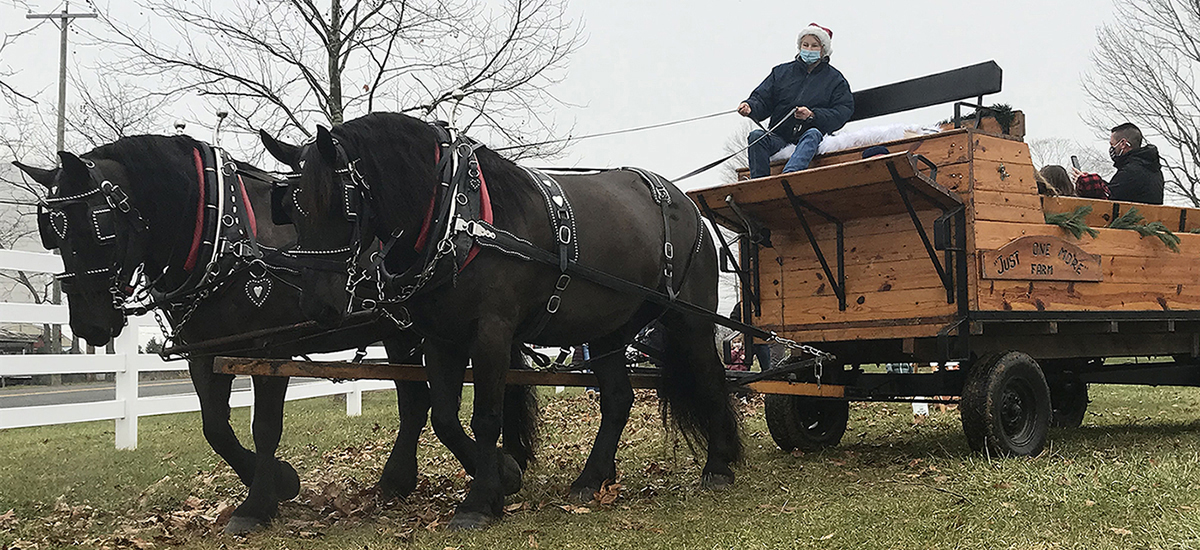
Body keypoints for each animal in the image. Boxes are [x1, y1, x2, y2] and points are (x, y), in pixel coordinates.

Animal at [10, 135, 520, 535]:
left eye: (99, 225)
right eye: (51, 231)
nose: (90, 325)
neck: (220, 232)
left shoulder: (270, 349)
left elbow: (264, 427)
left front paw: (256, 506)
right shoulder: (206, 352)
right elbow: (215, 428)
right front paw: (278, 480)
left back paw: (495, 468)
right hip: (398, 331)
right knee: (416, 403)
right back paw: (399, 480)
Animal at [262, 114, 739, 530]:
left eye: (342, 206)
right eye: (291, 210)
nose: (317, 305)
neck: (456, 216)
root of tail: (684, 201)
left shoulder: (492, 331)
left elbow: (487, 417)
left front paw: (478, 502)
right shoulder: (441, 338)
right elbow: (444, 418)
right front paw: (504, 474)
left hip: (690, 321)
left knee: (711, 380)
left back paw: (718, 467)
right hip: (605, 330)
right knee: (619, 399)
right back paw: (592, 478)